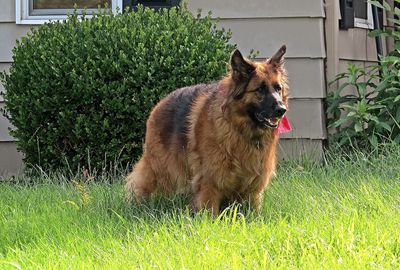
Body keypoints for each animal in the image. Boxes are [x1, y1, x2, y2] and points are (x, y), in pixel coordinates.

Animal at [124, 44, 288, 215]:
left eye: (278, 88)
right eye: (260, 90)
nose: (281, 110)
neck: (238, 129)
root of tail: (161, 102)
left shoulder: (252, 190)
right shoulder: (209, 184)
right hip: (158, 167)